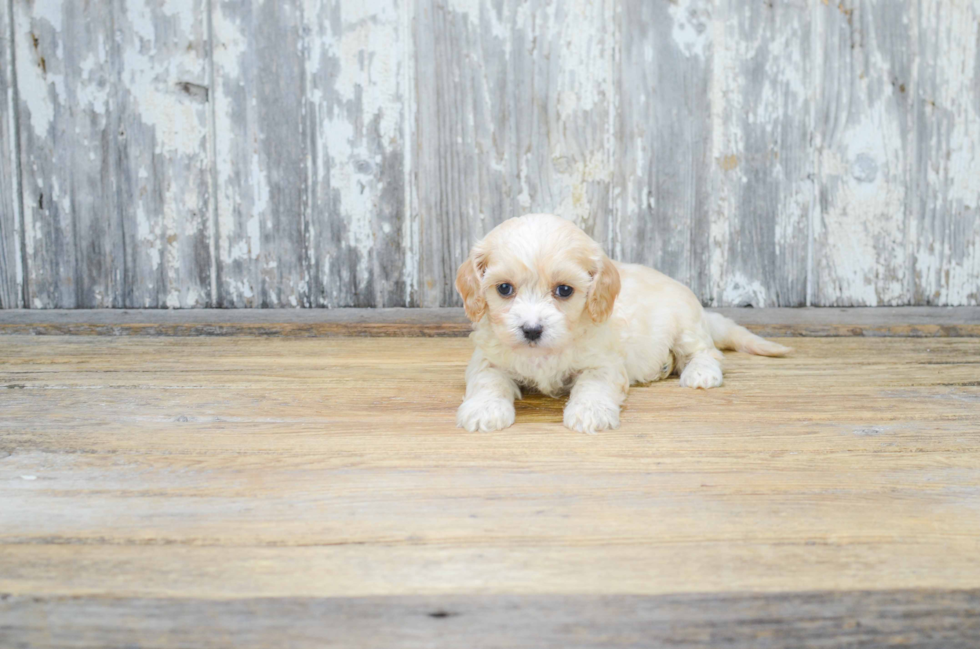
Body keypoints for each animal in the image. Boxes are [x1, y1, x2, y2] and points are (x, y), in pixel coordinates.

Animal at [456, 214, 792, 436]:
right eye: (504, 289)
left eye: (564, 290)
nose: (531, 330)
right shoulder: (487, 358)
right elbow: (488, 380)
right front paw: (484, 409)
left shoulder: (604, 363)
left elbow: (593, 384)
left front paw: (589, 412)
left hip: (686, 325)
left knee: (706, 352)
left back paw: (700, 373)